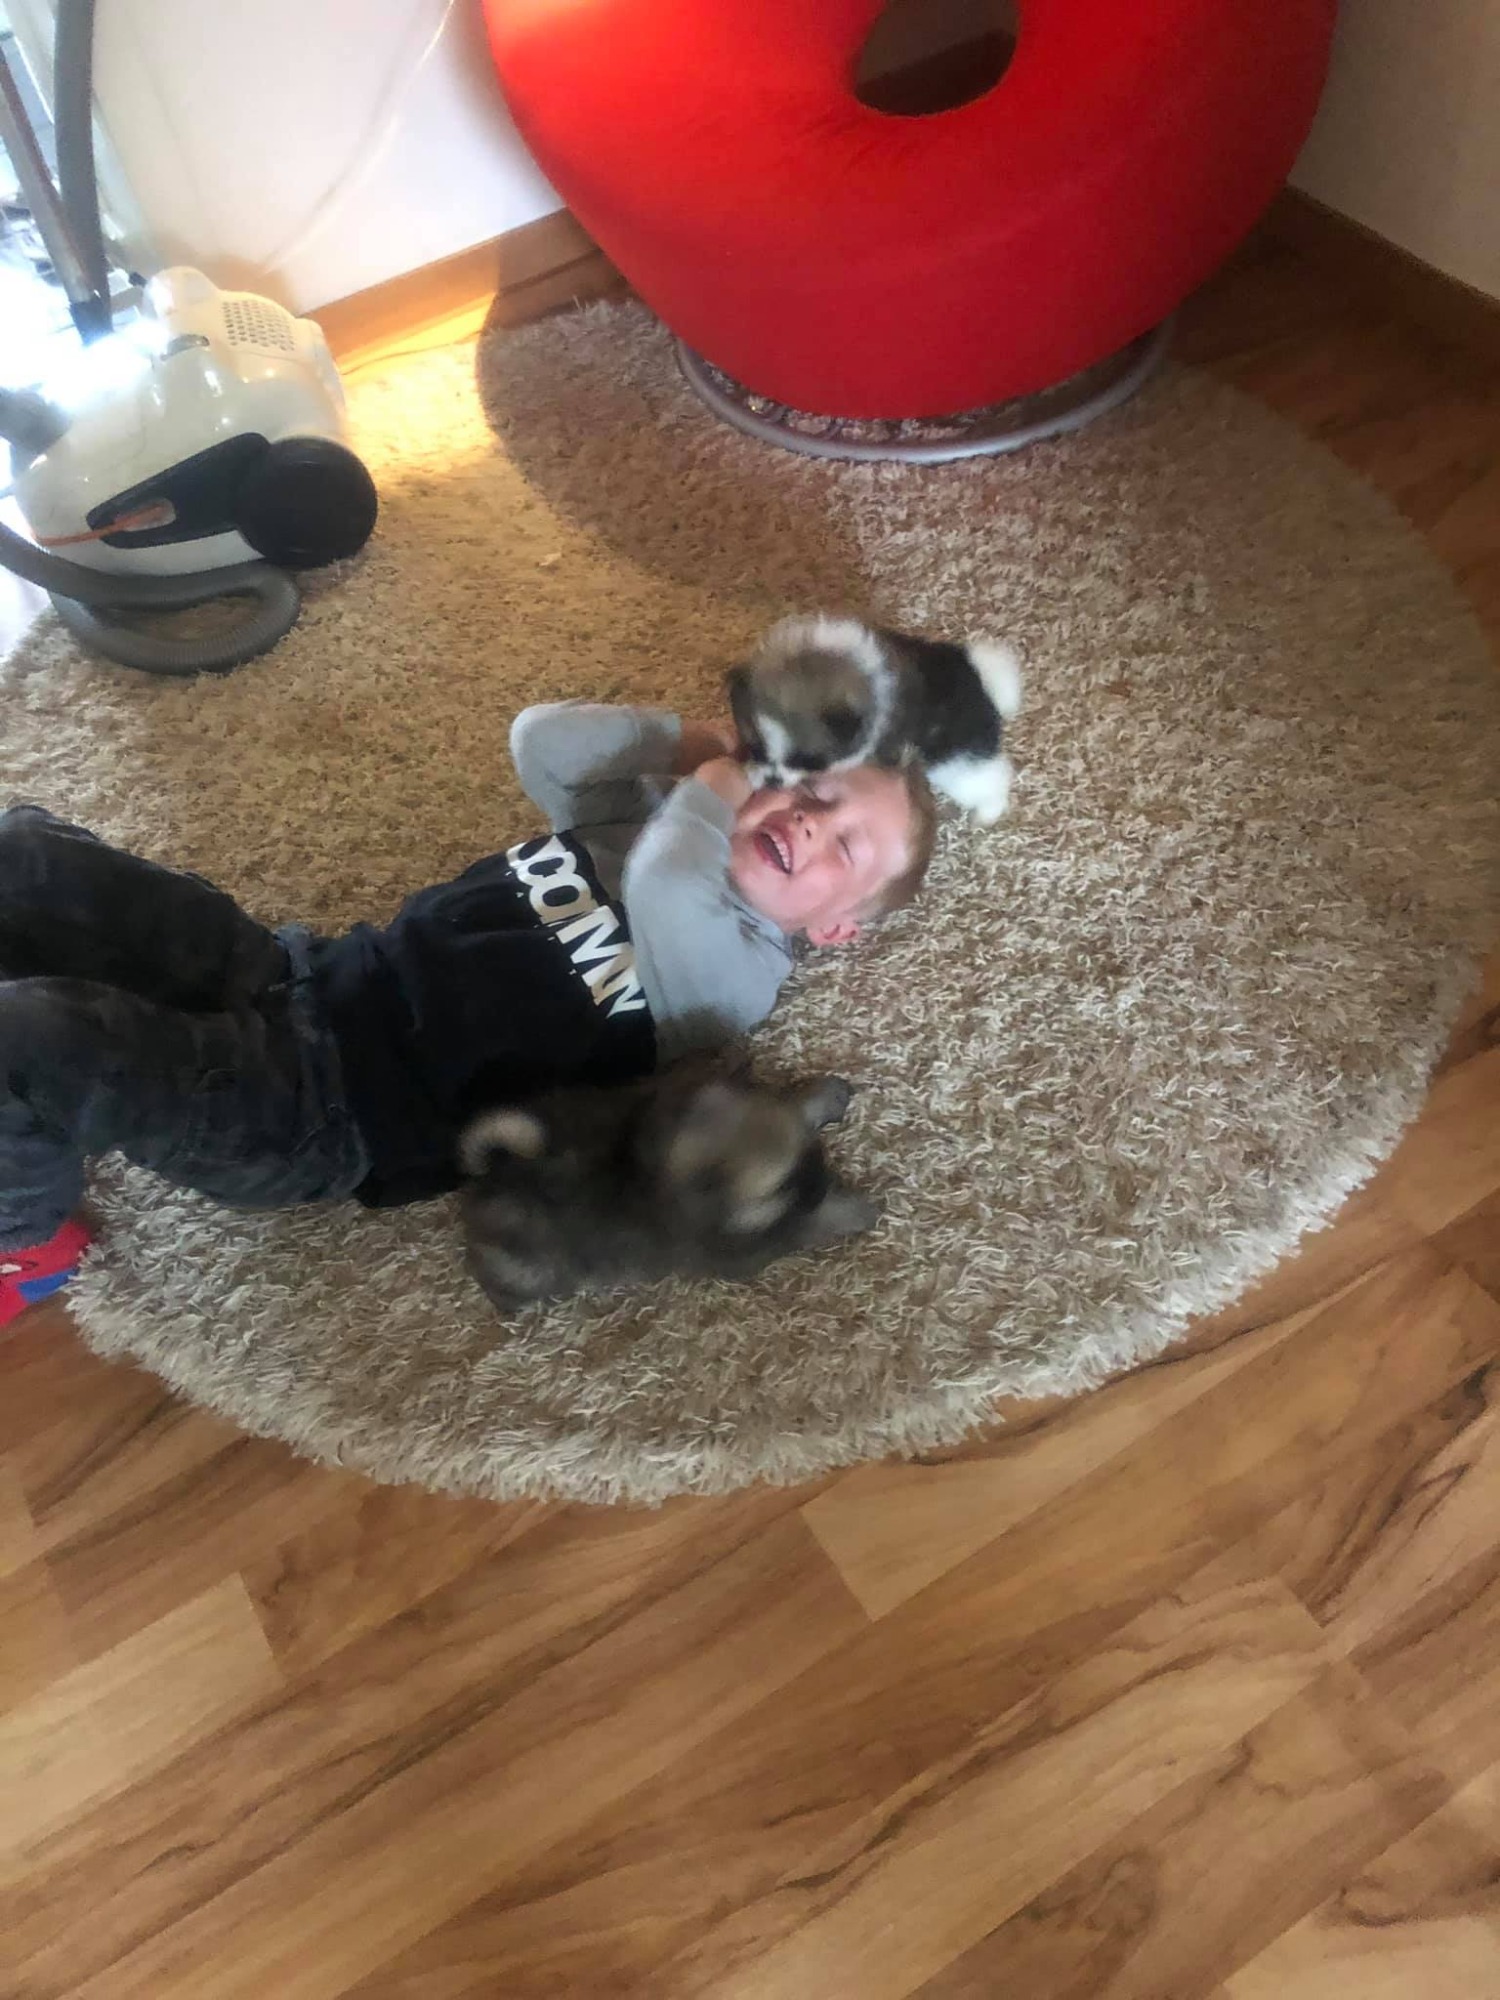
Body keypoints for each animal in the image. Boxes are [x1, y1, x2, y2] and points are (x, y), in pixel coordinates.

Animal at [459, 1069, 878, 1309]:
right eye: (785, 1185)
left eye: (813, 1154)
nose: (823, 1183)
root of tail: (491, 1180)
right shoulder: (748, 1247)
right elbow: (806, 1226)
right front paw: (852, 1209)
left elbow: (792, 1104)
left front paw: (820, 1098)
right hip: (524, 1270)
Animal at [727, 613, 1023, 823]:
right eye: (756, 748)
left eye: (809, 761)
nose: (773, 782)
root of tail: (980, 679)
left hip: (954, 760)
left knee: (990, 777)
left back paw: (988, 811)